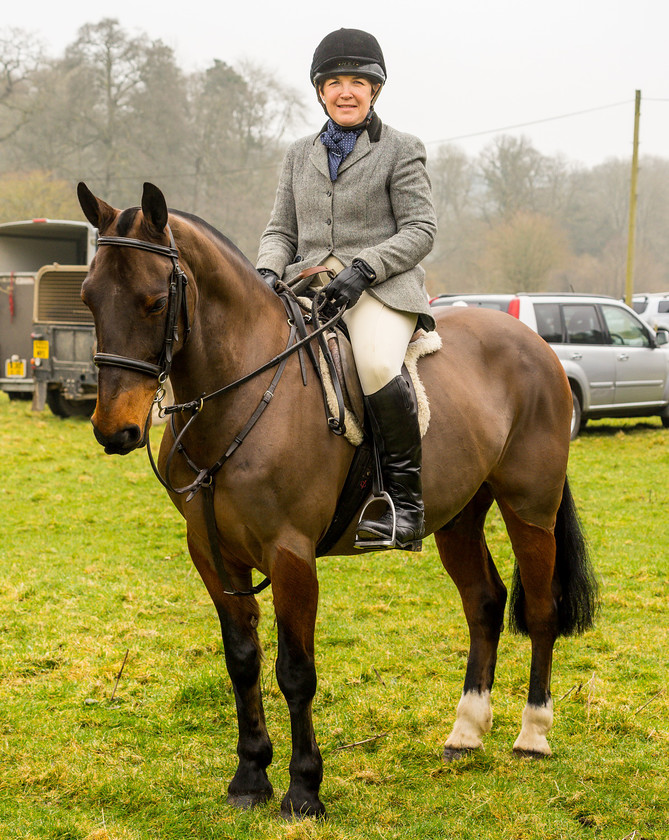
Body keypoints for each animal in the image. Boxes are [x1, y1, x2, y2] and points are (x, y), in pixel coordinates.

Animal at [77, 180, 596, 816]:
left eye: (154, 302)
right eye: (88, 299)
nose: (115, 430)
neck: (241, 392)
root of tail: (538, 344)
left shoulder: (291, 554)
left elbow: (295, 671)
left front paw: (304, 789)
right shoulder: (212, 553)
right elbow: (242, 660)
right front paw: (249, 777)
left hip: (530, 507)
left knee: (542, 609)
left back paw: (532, 735)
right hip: (457, 516)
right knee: (484, 602)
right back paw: (467, 732)